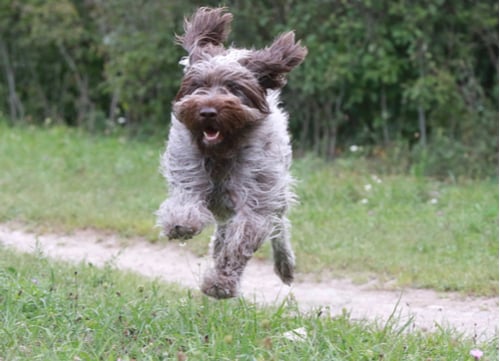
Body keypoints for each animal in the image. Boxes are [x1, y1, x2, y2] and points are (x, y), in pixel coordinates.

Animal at [156, 7, 306, 298]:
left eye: (234, 88)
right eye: (199, 85)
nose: (207, 111)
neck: (222, 153)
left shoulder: (255, 201)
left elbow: (240, 242)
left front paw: (220, 283)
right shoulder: (187, 169)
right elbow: (184, 201)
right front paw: (182, 223)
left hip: (276, 194)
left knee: (279, 226)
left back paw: (285, 265)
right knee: (223, 230)